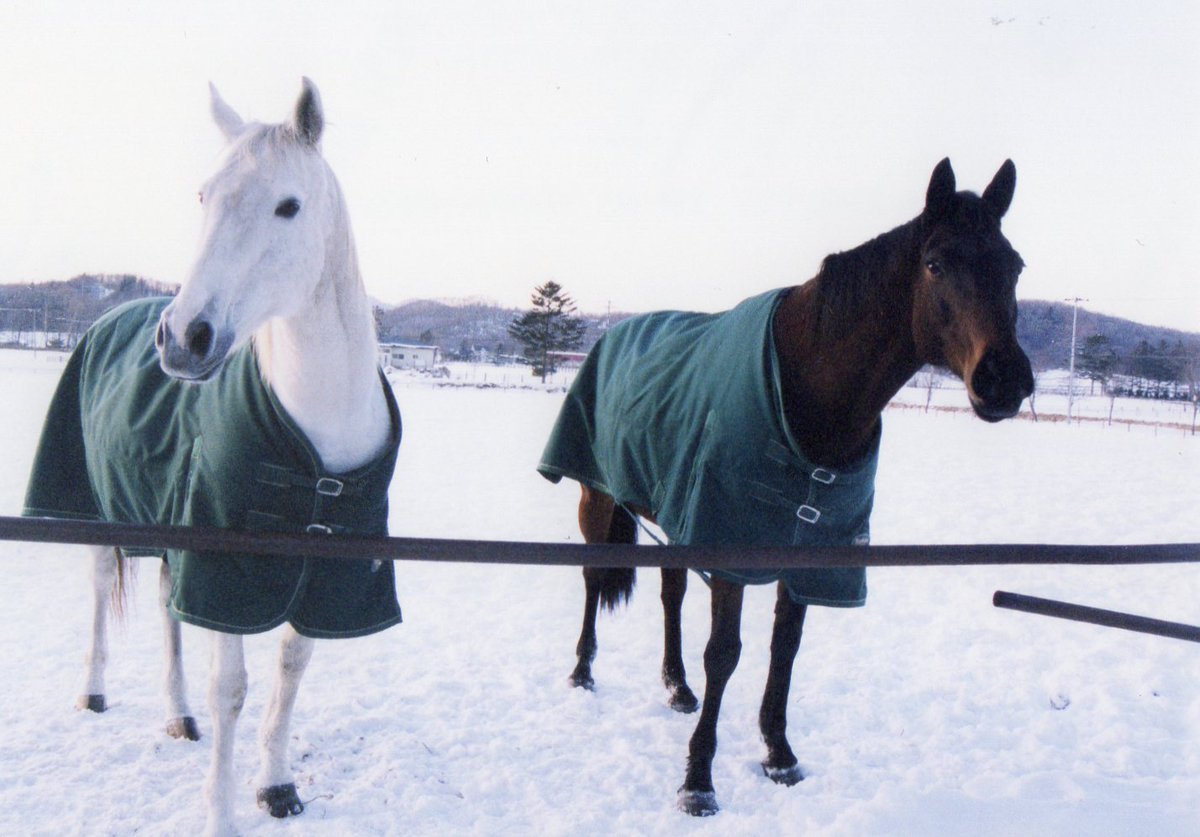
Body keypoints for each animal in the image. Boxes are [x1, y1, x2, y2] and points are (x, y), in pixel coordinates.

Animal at [22, 79, 402, 836]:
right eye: (203, 196)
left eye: (290, 205)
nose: (183, 338)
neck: (317, 454)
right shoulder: (227, 566)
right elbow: (232, 686)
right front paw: (222, 813)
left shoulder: (324, 573)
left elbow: (291, 665)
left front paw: (276, 785)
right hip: (96, 517)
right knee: (100, 595)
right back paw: (94, 691)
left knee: (168, 614)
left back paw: (177, 715)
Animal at [537, 158, 1034, 815]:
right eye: (936, 263)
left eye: (1014, 265)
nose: (1004, 380)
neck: (810, 389)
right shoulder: (730, 545)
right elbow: (725, 654)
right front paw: (698, 781)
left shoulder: (807, 552)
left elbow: (784, 650)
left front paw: (779, 756)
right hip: (597, 498)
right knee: (594, 578)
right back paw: (583, 672)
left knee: (671, 593)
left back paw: (676, 687)